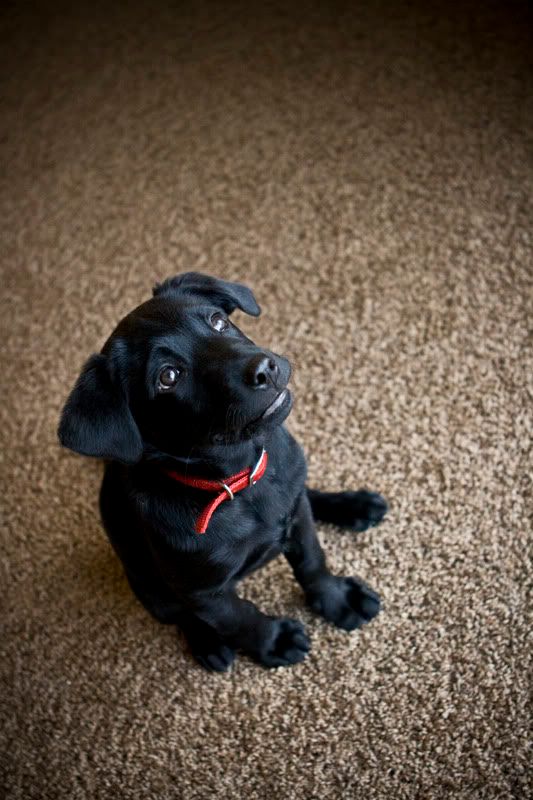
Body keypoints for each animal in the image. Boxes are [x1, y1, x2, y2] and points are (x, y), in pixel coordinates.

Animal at [59, 276, 386, 668]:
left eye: (217, 321)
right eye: (168, 376)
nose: (264, 368)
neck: (239, 483)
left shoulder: (299, 521)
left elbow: (312, 562)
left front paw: (337, 598)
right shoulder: (202, 592)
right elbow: (239, 617)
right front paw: (273, 641)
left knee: (306, 493)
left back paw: (354, 505)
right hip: (151, 590)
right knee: (180, 617)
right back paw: (208, 644)